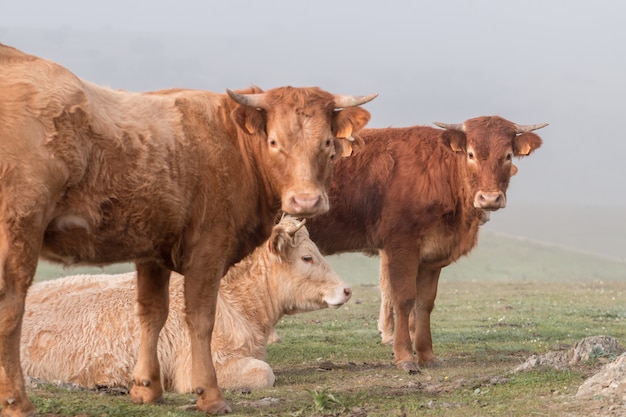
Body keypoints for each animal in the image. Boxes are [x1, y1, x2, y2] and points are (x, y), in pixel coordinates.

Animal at [304, 115, 544, 372]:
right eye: (471, 154)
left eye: (508, 155)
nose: (489, 198)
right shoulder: (400, 246)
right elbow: (403, 298)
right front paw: (404, 355)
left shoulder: (431, 255)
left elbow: (424, 303)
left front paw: (427, 354)